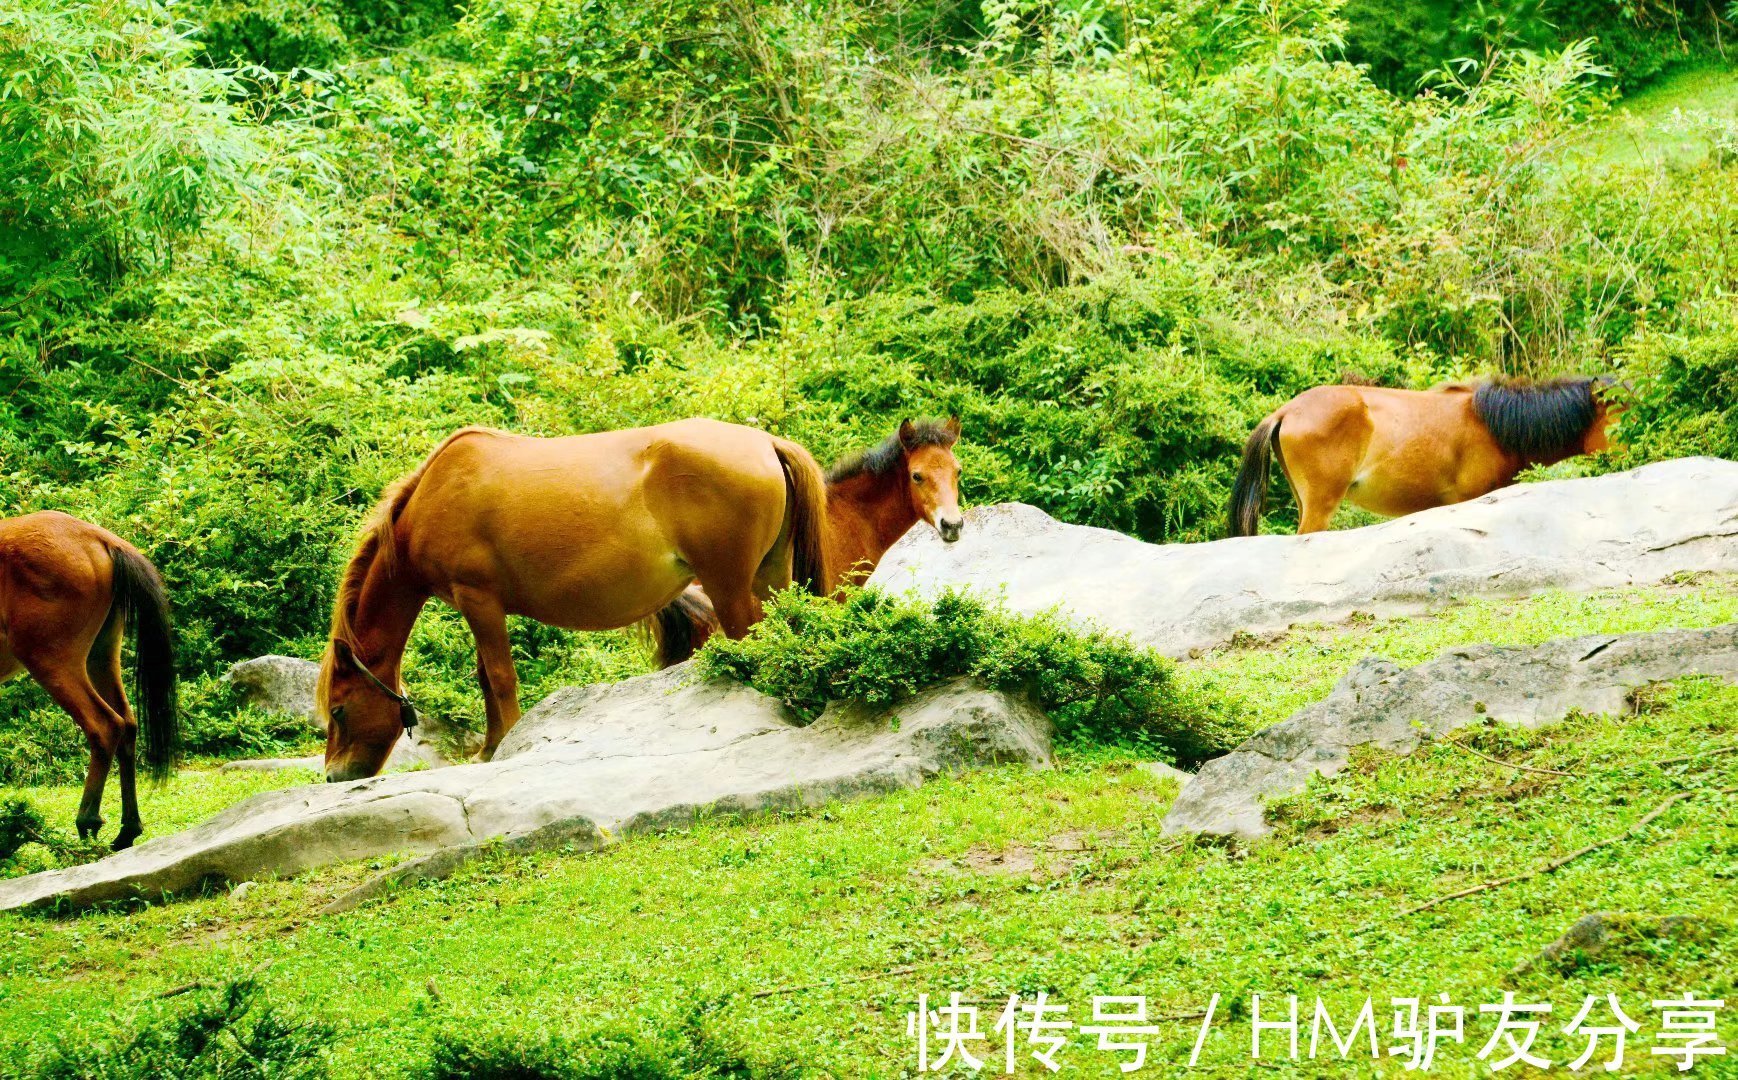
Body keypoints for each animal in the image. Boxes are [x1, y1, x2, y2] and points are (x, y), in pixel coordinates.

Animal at [0, 511, 178, 845]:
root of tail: (99, 537)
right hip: (101, 656)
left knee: (105, 725)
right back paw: (127, 830)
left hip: (51, 661)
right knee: (128, 724)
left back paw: (88, 820)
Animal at [321, 417, 834, 779]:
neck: (434, 498)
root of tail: (765, 443)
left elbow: (500, 678)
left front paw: (506, 744)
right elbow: (487, 679)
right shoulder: (480, 605)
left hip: (730, 588)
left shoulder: (478, 599)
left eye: (338, 709)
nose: (333, 775)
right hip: (771, 579)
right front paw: (490, 748)